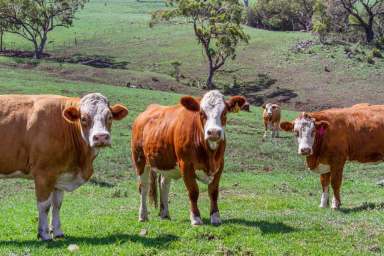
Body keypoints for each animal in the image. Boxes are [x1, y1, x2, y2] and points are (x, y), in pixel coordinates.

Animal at [0, 92, 129, 240]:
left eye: (110, 117)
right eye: (83, 118)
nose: (101, 137)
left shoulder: (60, 174)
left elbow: (57, 205)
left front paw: (57, 231)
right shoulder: (43, 173)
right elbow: (44, 205)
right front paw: (44, 234)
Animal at [131, 90, 246, 226]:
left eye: (224, 112)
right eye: (201, 113)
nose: (213, 132)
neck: (209, 154)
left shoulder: (219, 165)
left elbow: (213, 192)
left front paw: (215, 217)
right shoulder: (186, 165)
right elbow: (193, 192)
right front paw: (196, 218)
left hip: (166, 161)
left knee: (164, 185)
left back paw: (165, 214)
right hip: (139, 159)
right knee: (143, 187)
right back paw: (143, 215)